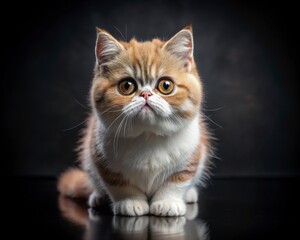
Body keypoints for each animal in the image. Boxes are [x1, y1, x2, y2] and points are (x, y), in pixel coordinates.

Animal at [57, 25, 210, 217]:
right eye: (127, 86)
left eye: (166, 85)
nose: (145, 94)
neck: (148, 136)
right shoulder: (99, 155)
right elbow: (117, 183)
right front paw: (130, 202)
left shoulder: (192, 153)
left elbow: (178, 180)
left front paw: (167, 202)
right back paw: (98, 197)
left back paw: (189, 194)